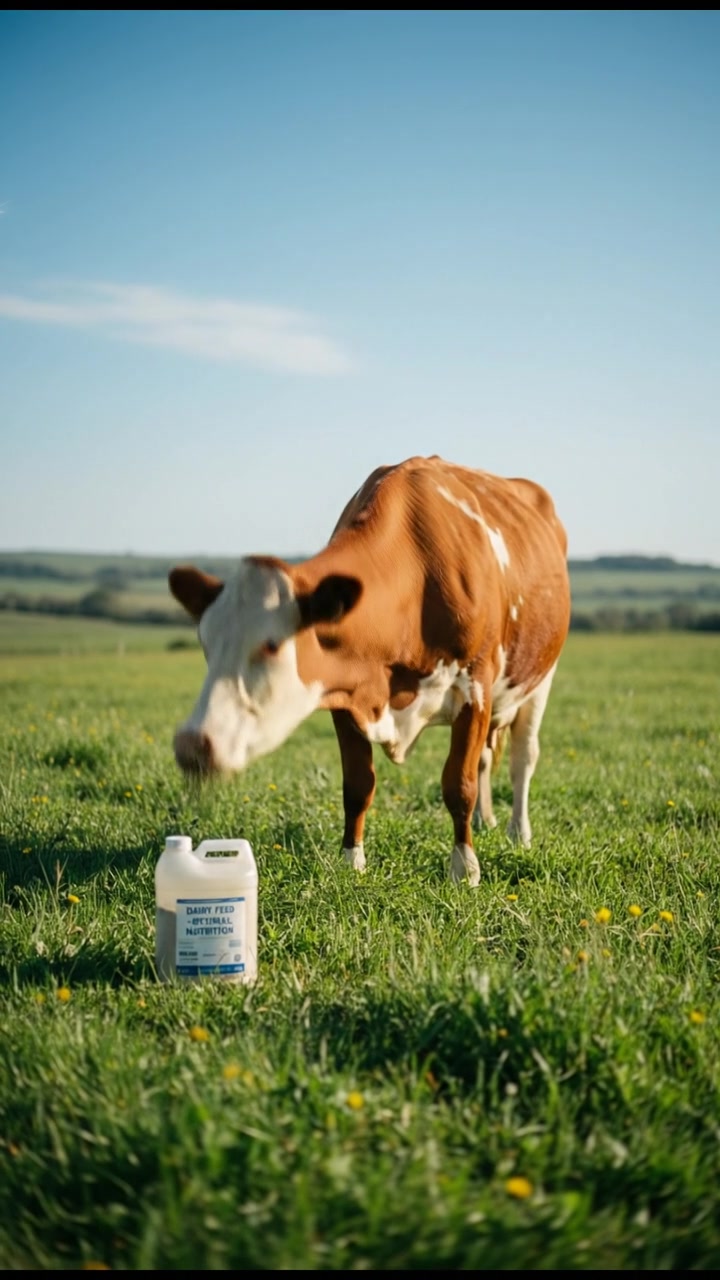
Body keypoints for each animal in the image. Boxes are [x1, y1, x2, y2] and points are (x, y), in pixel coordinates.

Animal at [169, 455, 570, 885]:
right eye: (206, 643)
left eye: (271, 645)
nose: (192, 744)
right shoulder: (347, 697)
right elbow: (358, 786)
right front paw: (352, 862)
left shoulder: (475, 687)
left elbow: (458, 785)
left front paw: (465, 869)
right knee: (485, 759)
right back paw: (486, 820)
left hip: (540, 679)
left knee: (522, 758)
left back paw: (518, 833)